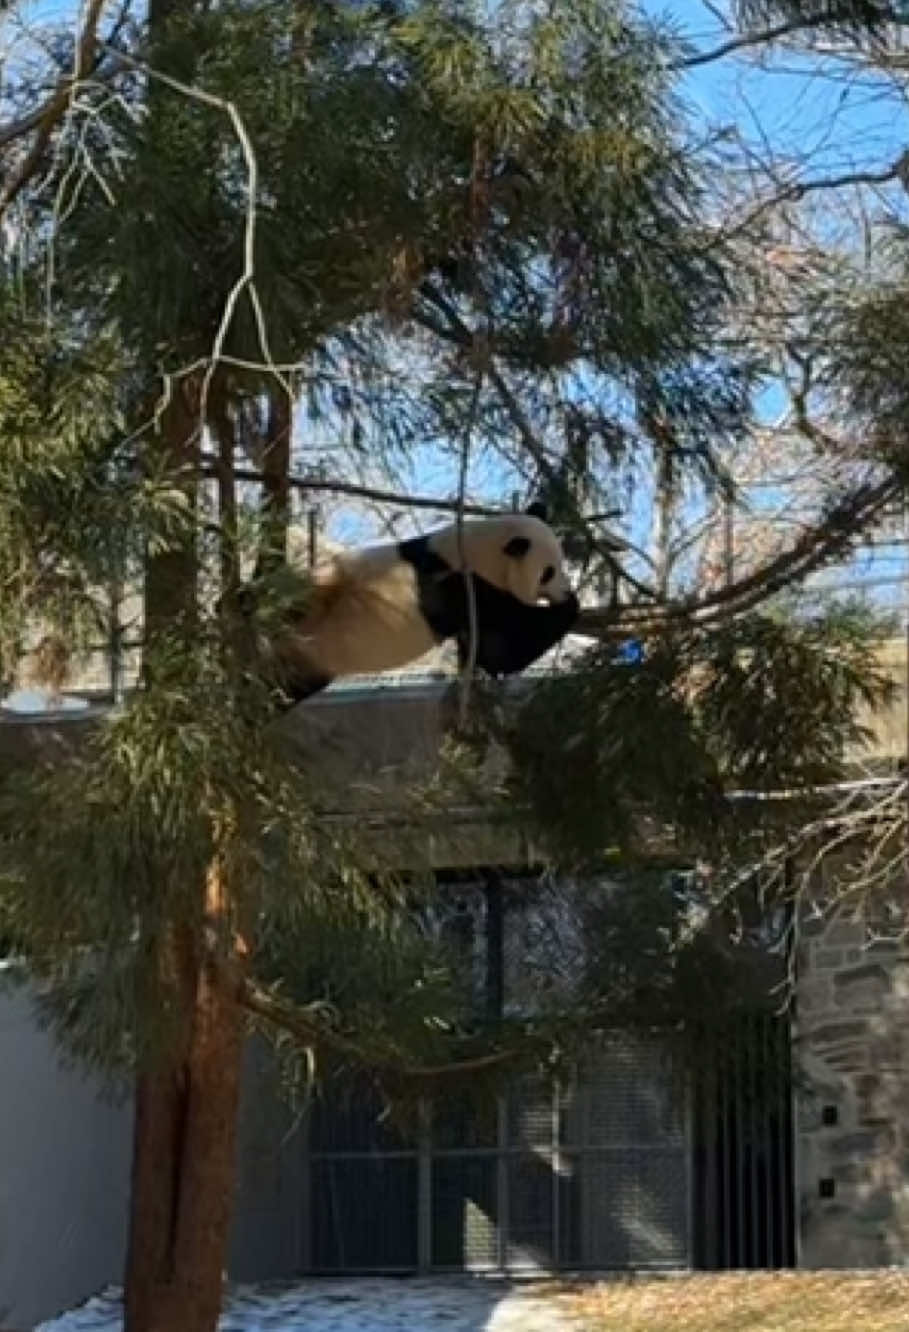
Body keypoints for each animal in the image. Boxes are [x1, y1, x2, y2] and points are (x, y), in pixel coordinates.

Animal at [237, 505, 580, 706]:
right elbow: (502, 651)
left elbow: (486, 653)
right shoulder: (463, 589)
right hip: (316, 595)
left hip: (305, 665)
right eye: (548, 571)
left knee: (278, 691)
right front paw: (569, 606)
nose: (565, 590)